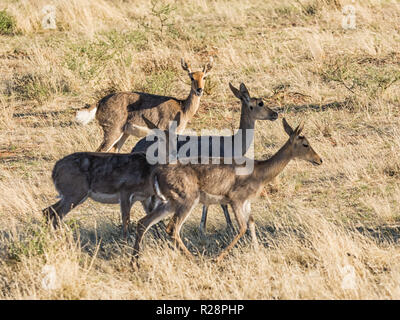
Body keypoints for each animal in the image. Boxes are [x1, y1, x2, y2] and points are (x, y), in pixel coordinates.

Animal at [74, 57, 212, 152]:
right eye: (191, 77)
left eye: (204, 77)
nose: (199, 90)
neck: (182, 108)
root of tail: (100, 102)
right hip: (113, 132)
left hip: (124, 133)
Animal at [131, 82, 278, 235]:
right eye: (260, 103)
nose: (275, 114)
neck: (233, 143)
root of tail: (136, 146)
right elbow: (222, 204)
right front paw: (227, 226)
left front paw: (203, 227)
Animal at [131, 117, 322, 264]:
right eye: (305, 143)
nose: (319, 159)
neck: (259, 171)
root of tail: (157, 172)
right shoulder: (235, 200)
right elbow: (242, 228)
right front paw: (217, 258)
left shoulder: (246, 202)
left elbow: (251, 223)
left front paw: (258, 251)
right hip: (186, 202)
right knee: (172, 228)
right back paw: (193, 258)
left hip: (169, 203)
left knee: (143, 223)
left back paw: (135, 262)